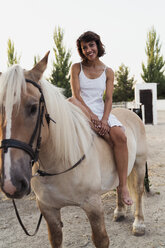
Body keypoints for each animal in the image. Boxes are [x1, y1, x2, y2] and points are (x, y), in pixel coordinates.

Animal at [0, 51, 147, 247]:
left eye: (33, 108)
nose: (12, 183)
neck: (59, 162)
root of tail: (131, 112)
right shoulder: (48, 209)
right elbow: (55, 239)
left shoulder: (93, 206)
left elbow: (101, 239)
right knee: (119, 184)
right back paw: (120, 212)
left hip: (139, 164)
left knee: (138, 191)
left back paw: (139, 224)